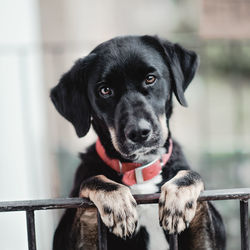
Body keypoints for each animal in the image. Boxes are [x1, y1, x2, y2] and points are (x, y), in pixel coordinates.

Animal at [50, 35, 225, 250]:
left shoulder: (207, 239)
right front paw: (118, 205)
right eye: (105, 90)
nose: (139, 133)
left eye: (150, 78)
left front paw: (178, 199)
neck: (139, 170)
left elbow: (192, 176)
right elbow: (93, 179)